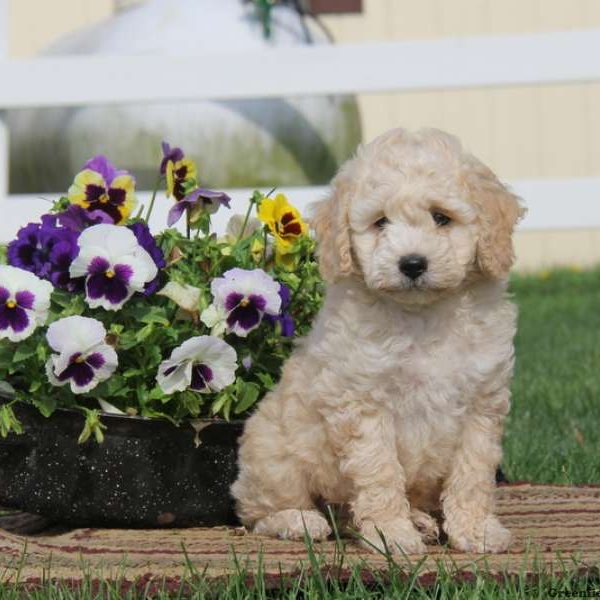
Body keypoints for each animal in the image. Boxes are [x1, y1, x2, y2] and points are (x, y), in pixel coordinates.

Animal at [230, 126, 524, 552]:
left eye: (441, 217)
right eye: (381, 222)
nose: (412, 264)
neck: (422, 316)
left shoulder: (481, 403)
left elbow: (473, 473)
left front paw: (475, 530)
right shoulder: (363, 403)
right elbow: (380, 473)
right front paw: (392, 536)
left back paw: (417, 520)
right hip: (274, 453)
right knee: (259, 509)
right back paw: (300, 521)